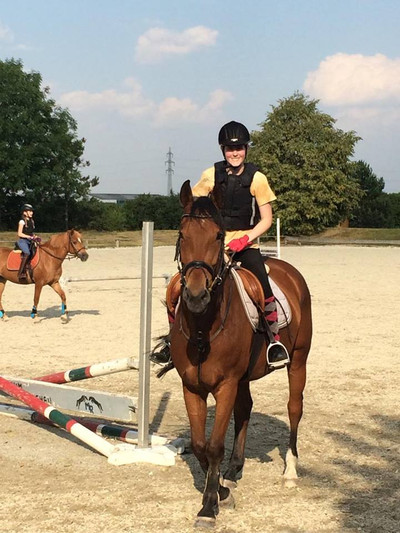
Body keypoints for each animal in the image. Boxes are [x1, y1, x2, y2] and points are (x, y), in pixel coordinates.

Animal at [166, 180, 312, 528]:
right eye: (182, 233)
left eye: (219, 236)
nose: (195, 296)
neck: (204, 327)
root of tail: (288, 270)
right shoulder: (191, 386)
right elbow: (200, 444)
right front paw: (220, 489)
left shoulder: (226, 385)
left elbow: (215, 445)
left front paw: (209, 506)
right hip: (245, 376)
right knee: (245, 410)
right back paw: (234, 470)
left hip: (298, 360)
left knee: (294, 408)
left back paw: (290, 470)